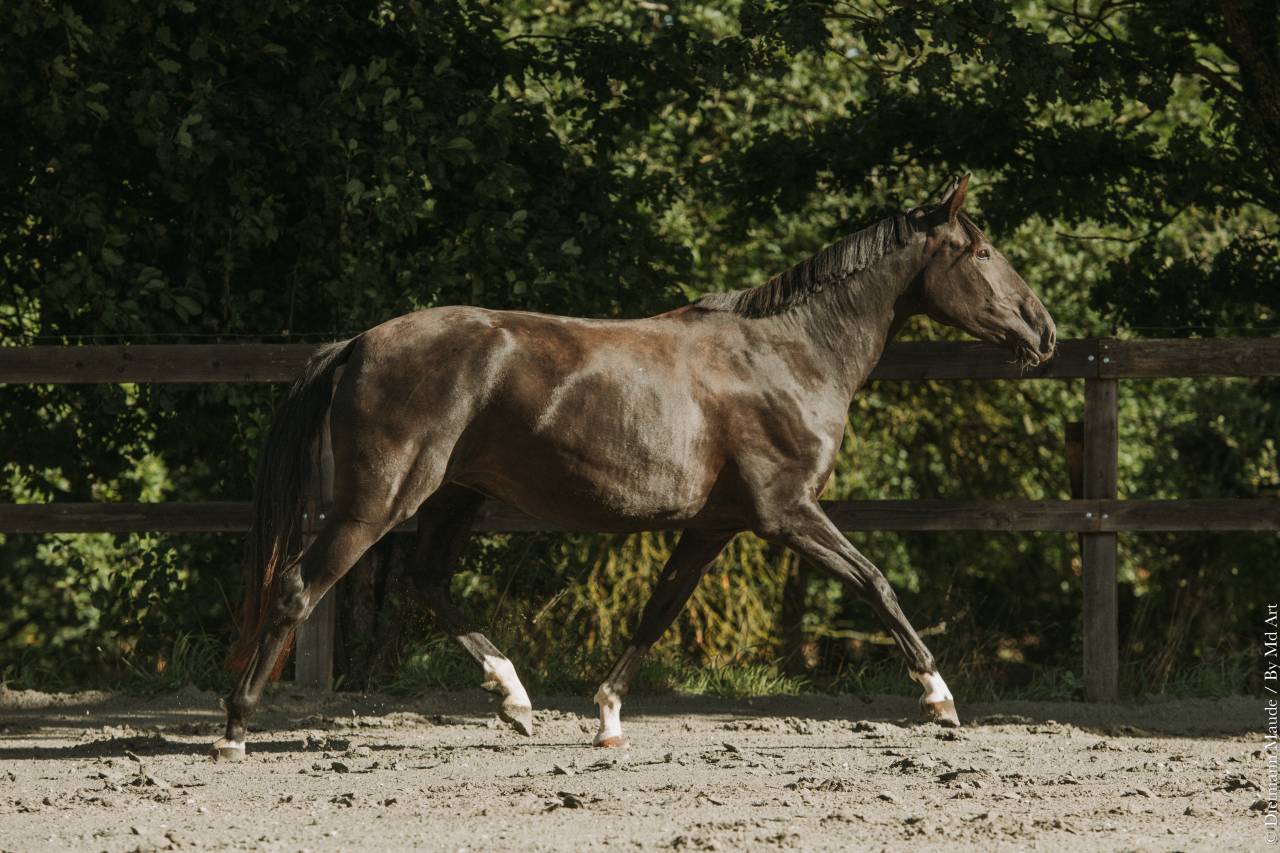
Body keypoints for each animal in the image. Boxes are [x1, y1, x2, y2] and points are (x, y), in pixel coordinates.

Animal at [212, 176, 1056, 760]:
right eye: (981, 251)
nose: (1043, 330)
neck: (788, 355)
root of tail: (356, 343)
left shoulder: (716, 526)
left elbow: (658, 610)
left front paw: (609, 716)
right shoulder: (787, 513)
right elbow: (876, 583)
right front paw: (940, 699)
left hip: (453, 496)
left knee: (427, 580)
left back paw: (515, 699)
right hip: (377, 499)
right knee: (300, 586)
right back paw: (235, 727)